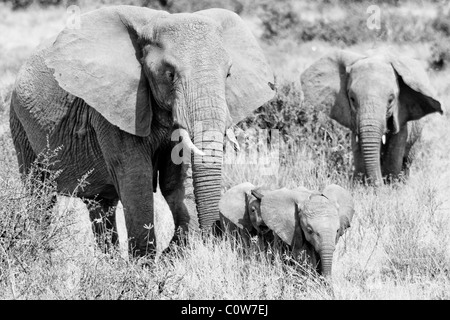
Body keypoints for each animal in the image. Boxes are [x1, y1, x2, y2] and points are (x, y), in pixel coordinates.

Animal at [8, 5, 274, 255]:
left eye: (228, 74)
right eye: (170, 74)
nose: (216, 232)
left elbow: (176, 182)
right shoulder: (117, 108)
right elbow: (136, 178)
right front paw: (146, 267)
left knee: (100, 205)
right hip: (19, 122)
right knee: (40, 194)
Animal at [300, 49, 442, 186]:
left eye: (391, 100)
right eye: (352, 99)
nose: (379, 185)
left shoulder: (401, 113)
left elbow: (395, 149)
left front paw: (390, 187)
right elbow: (358, 147)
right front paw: (362, 186)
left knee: (407, 159)